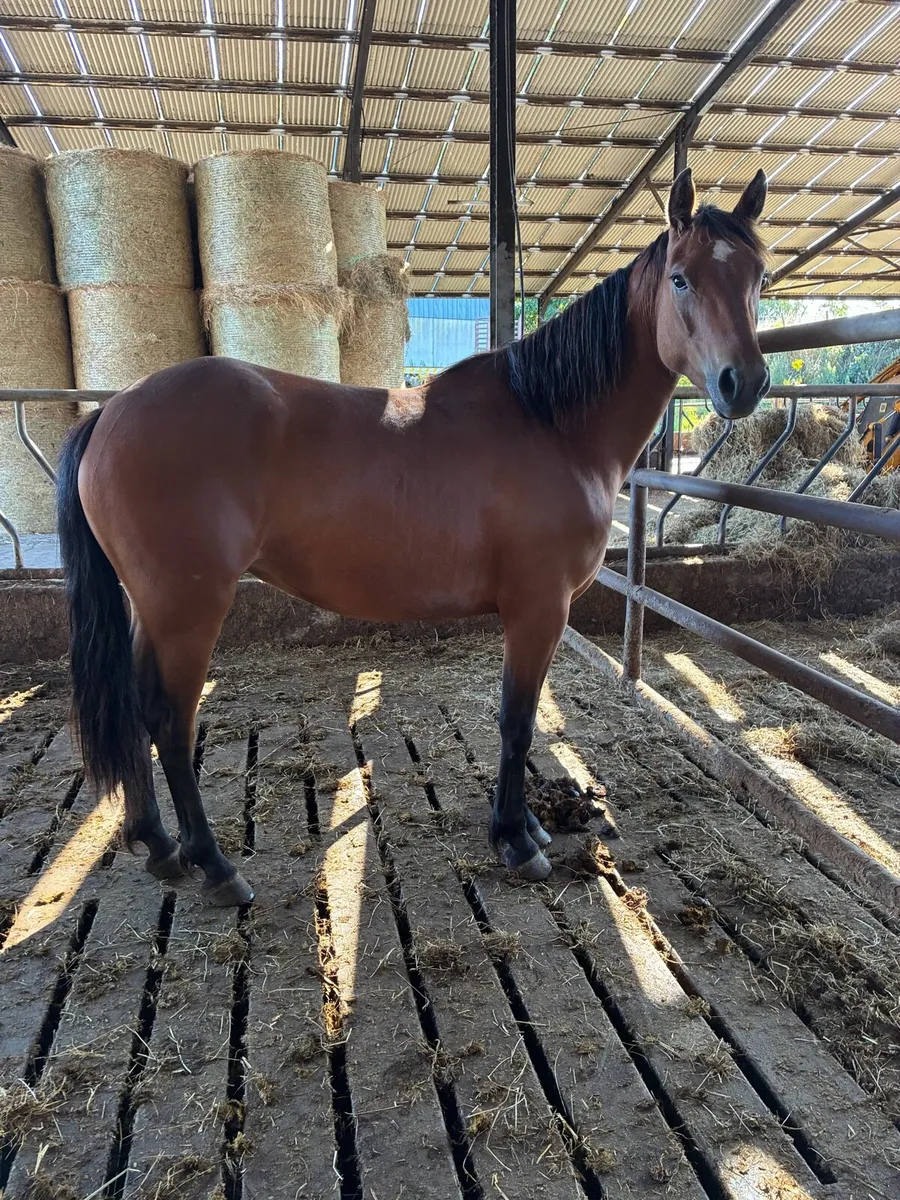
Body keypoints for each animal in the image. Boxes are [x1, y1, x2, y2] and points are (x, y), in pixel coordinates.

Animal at [56, 167, 771, 905]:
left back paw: (158, 844)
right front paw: (516, 840)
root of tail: (114, 410)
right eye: (682, 278)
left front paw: (527, 827)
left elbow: (522, 719)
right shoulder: (538, 609)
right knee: (169, 719)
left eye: (760, 277)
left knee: (135, 708)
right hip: (188, 609)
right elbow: (517, 721)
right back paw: (214, 864)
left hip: (153, 607)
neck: (551, 422)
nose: (742, 383)